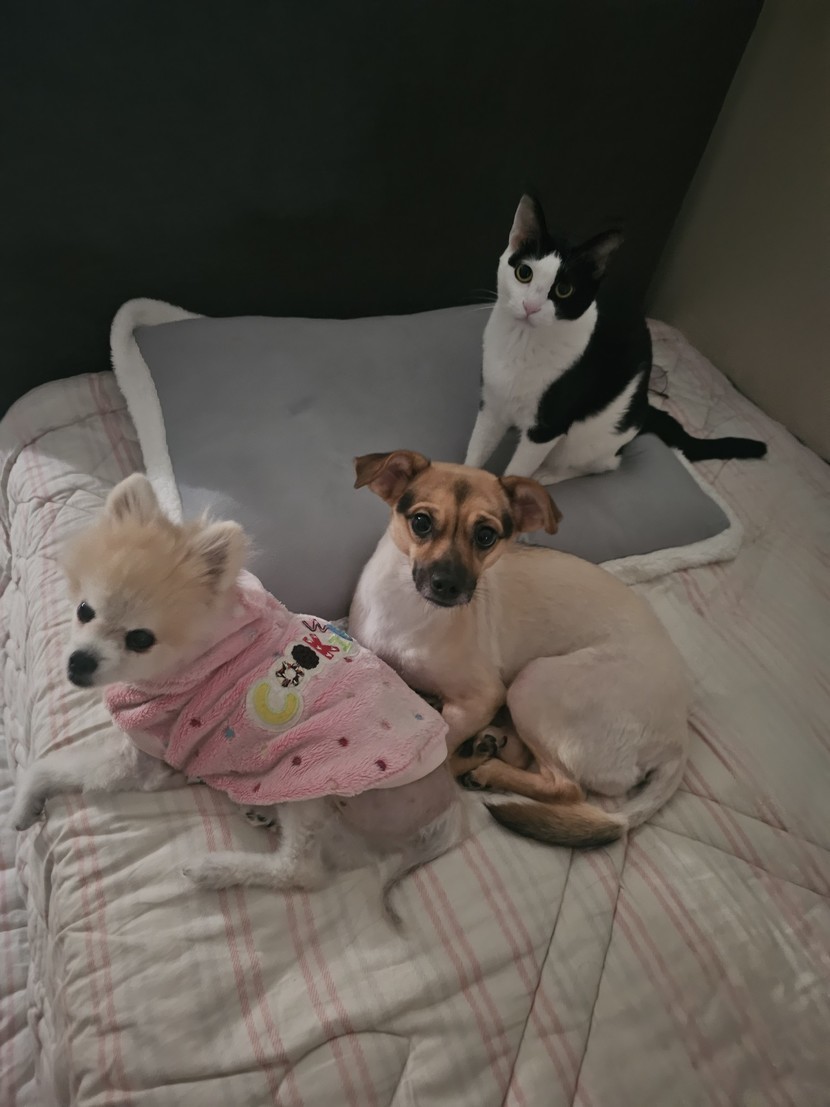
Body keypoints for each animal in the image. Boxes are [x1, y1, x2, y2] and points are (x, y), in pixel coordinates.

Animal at [10, 474, 463, 912]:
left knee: (301, 871)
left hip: (313, 778)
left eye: (140, 639)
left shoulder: (144, 758)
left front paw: (23, 802)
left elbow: (51, 767)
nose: (79, 662)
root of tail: (449, 804)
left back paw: (215, 869)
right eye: (84, 611)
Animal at [349, 451, 689, 845]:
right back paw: (489, 746)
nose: (448, 585)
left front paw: (458, 751)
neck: (409, 608)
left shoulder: (480, 698)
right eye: (421, 522)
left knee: (566, 787)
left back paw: (485, 766)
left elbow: (444, 748)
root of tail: (676, 742)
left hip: (532, 684)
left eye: (486, 536)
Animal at [465, 194, 766, 484]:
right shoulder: (491, 404)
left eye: (564, 290)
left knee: (605, 464)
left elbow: (517, 471)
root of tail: (644, 407)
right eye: (524, 273)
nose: (530, 307)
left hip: (588, 440)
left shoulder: (547, 428)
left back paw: (549, 475)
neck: (522, 342)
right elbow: (476, 452)